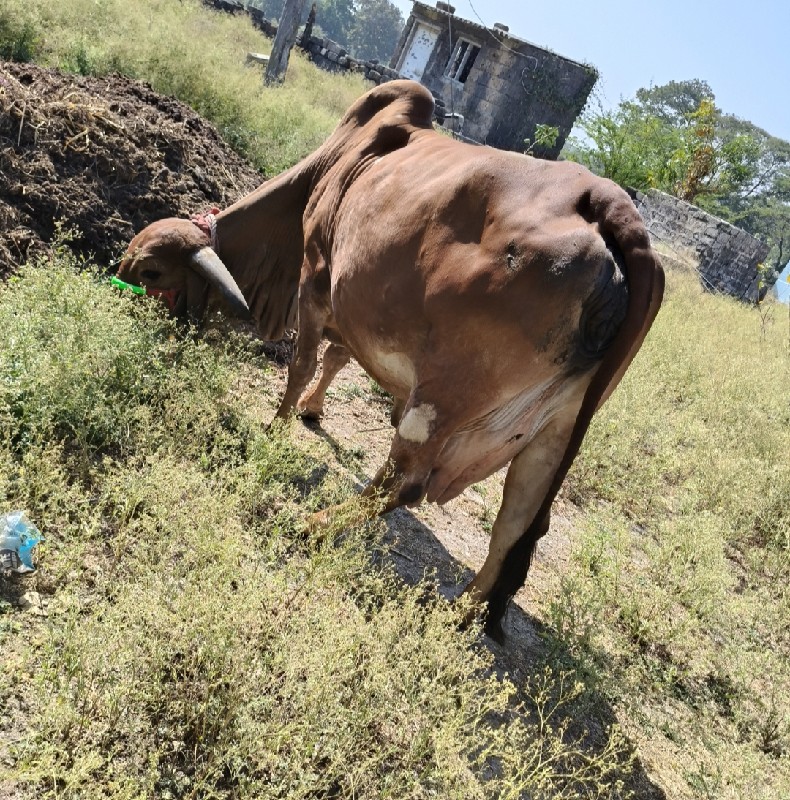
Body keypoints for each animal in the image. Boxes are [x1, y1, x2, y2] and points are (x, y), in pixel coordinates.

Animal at [117, 79, 664, 636]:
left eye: (150, 271)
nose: (121, 306)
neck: (336, 163)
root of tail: (610, 205)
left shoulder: (316, 277)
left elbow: (302, 366)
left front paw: (276, 427)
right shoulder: (354, 300)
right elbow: (337, 358)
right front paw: (312, 411)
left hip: (444, 393)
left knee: (403, 484)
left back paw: (314, 523)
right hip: (555, 427)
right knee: (515, 523)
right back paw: (460, 613)